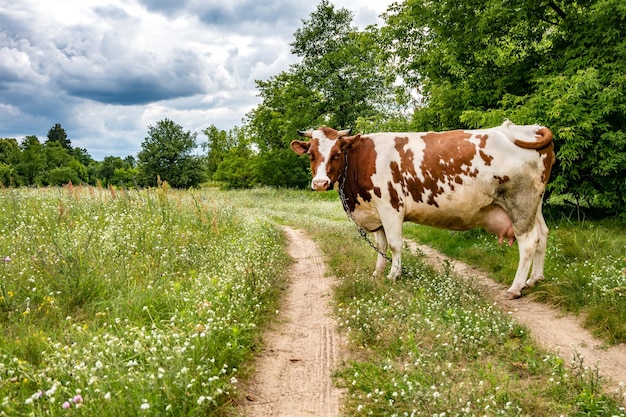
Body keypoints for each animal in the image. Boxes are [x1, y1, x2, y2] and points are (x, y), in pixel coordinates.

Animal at [290, 118, 552, 298]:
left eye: (336, 154)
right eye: (311, 154)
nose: (320, 183)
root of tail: (530, 128)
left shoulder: (390, 207)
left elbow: (394, 244)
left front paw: (394, 275)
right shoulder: (376, 212)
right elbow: (381, 246)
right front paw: (377, 273)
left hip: (520, 203)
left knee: (528, 243)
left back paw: (515, 288)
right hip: (534, 205)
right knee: (542, 235)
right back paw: (534, 280)